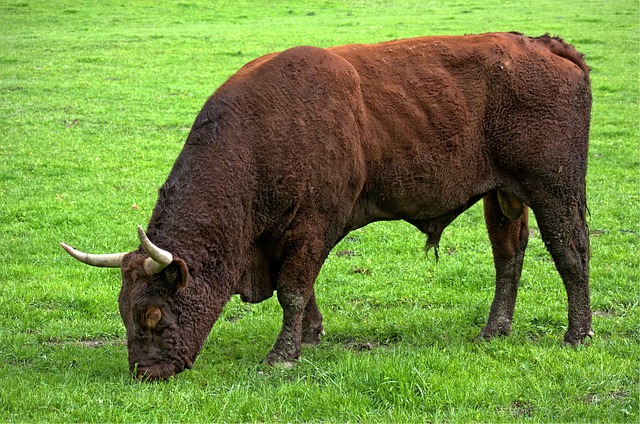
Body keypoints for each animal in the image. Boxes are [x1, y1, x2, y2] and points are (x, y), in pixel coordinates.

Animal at [62, 31, 592, 380]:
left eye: (154, 316)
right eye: (124, 314)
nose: (144, 373)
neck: (263, 135)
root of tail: (544, 45)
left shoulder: (311, 226)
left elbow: (293, 290)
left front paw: (283, 354)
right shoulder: (291, 237)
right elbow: (302, 287)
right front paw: (311, 335)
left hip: (555, 190)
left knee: (571, 253)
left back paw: (578, 334)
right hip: (503, 196)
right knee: (509, 256)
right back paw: (494, 330)